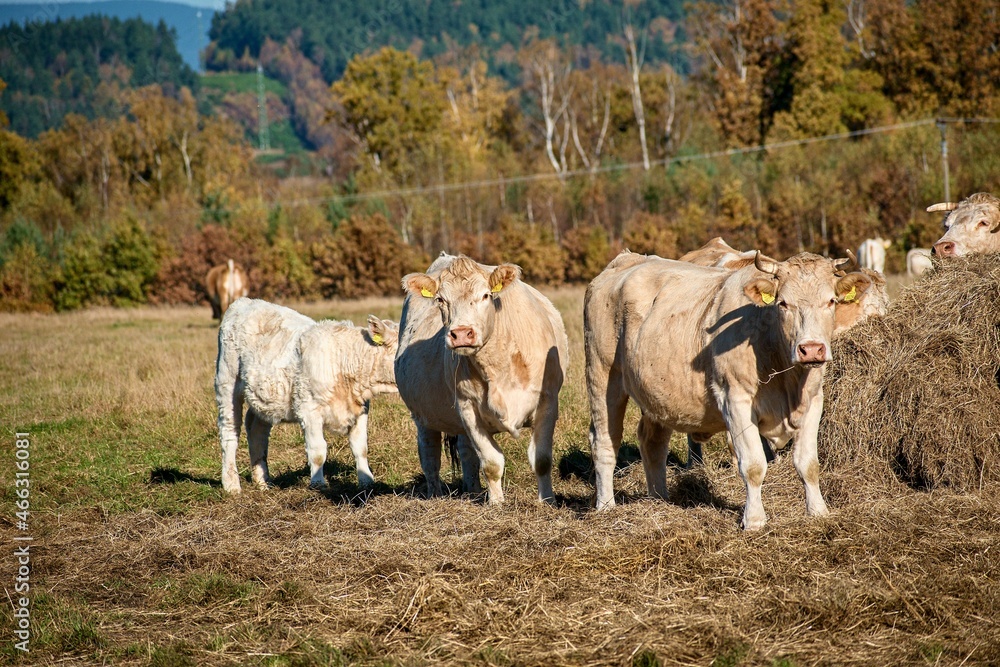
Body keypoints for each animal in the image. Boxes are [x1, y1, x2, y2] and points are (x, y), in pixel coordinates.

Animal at [215, 300, 398, 494]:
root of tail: (245, 302)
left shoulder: (360, 409)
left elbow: (360, 447)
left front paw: (366, 482)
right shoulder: (309, 410)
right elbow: (318, 451)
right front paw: (318, 485)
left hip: (264, 396)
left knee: (256, 428)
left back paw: (263, 481)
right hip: (226, 381)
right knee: (229, 431)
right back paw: (231, 484)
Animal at [584, 250, 872, 532]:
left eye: (831, 301)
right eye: (783, 303)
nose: (811, 349)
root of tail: (627, 259)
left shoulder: (813, 400)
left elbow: (808, 464)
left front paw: (818, 512)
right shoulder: (735, 400)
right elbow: (753, 465)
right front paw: (754, 520)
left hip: (656, 394)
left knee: (652, 442)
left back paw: (659, 501)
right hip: (602, 376)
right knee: (605, 442)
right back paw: (606, 507)